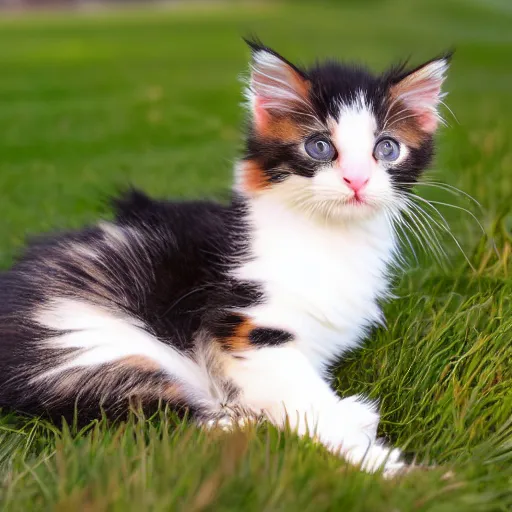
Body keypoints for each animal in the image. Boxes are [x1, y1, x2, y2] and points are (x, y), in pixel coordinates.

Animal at [0, 40, 452, 476]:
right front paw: (392, 470)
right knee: (153, 420)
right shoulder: (249, 329)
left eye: (387, 149)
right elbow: (304, 401)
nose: (356, 180)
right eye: (320, 147)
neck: (330, 237)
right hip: (88, 341)